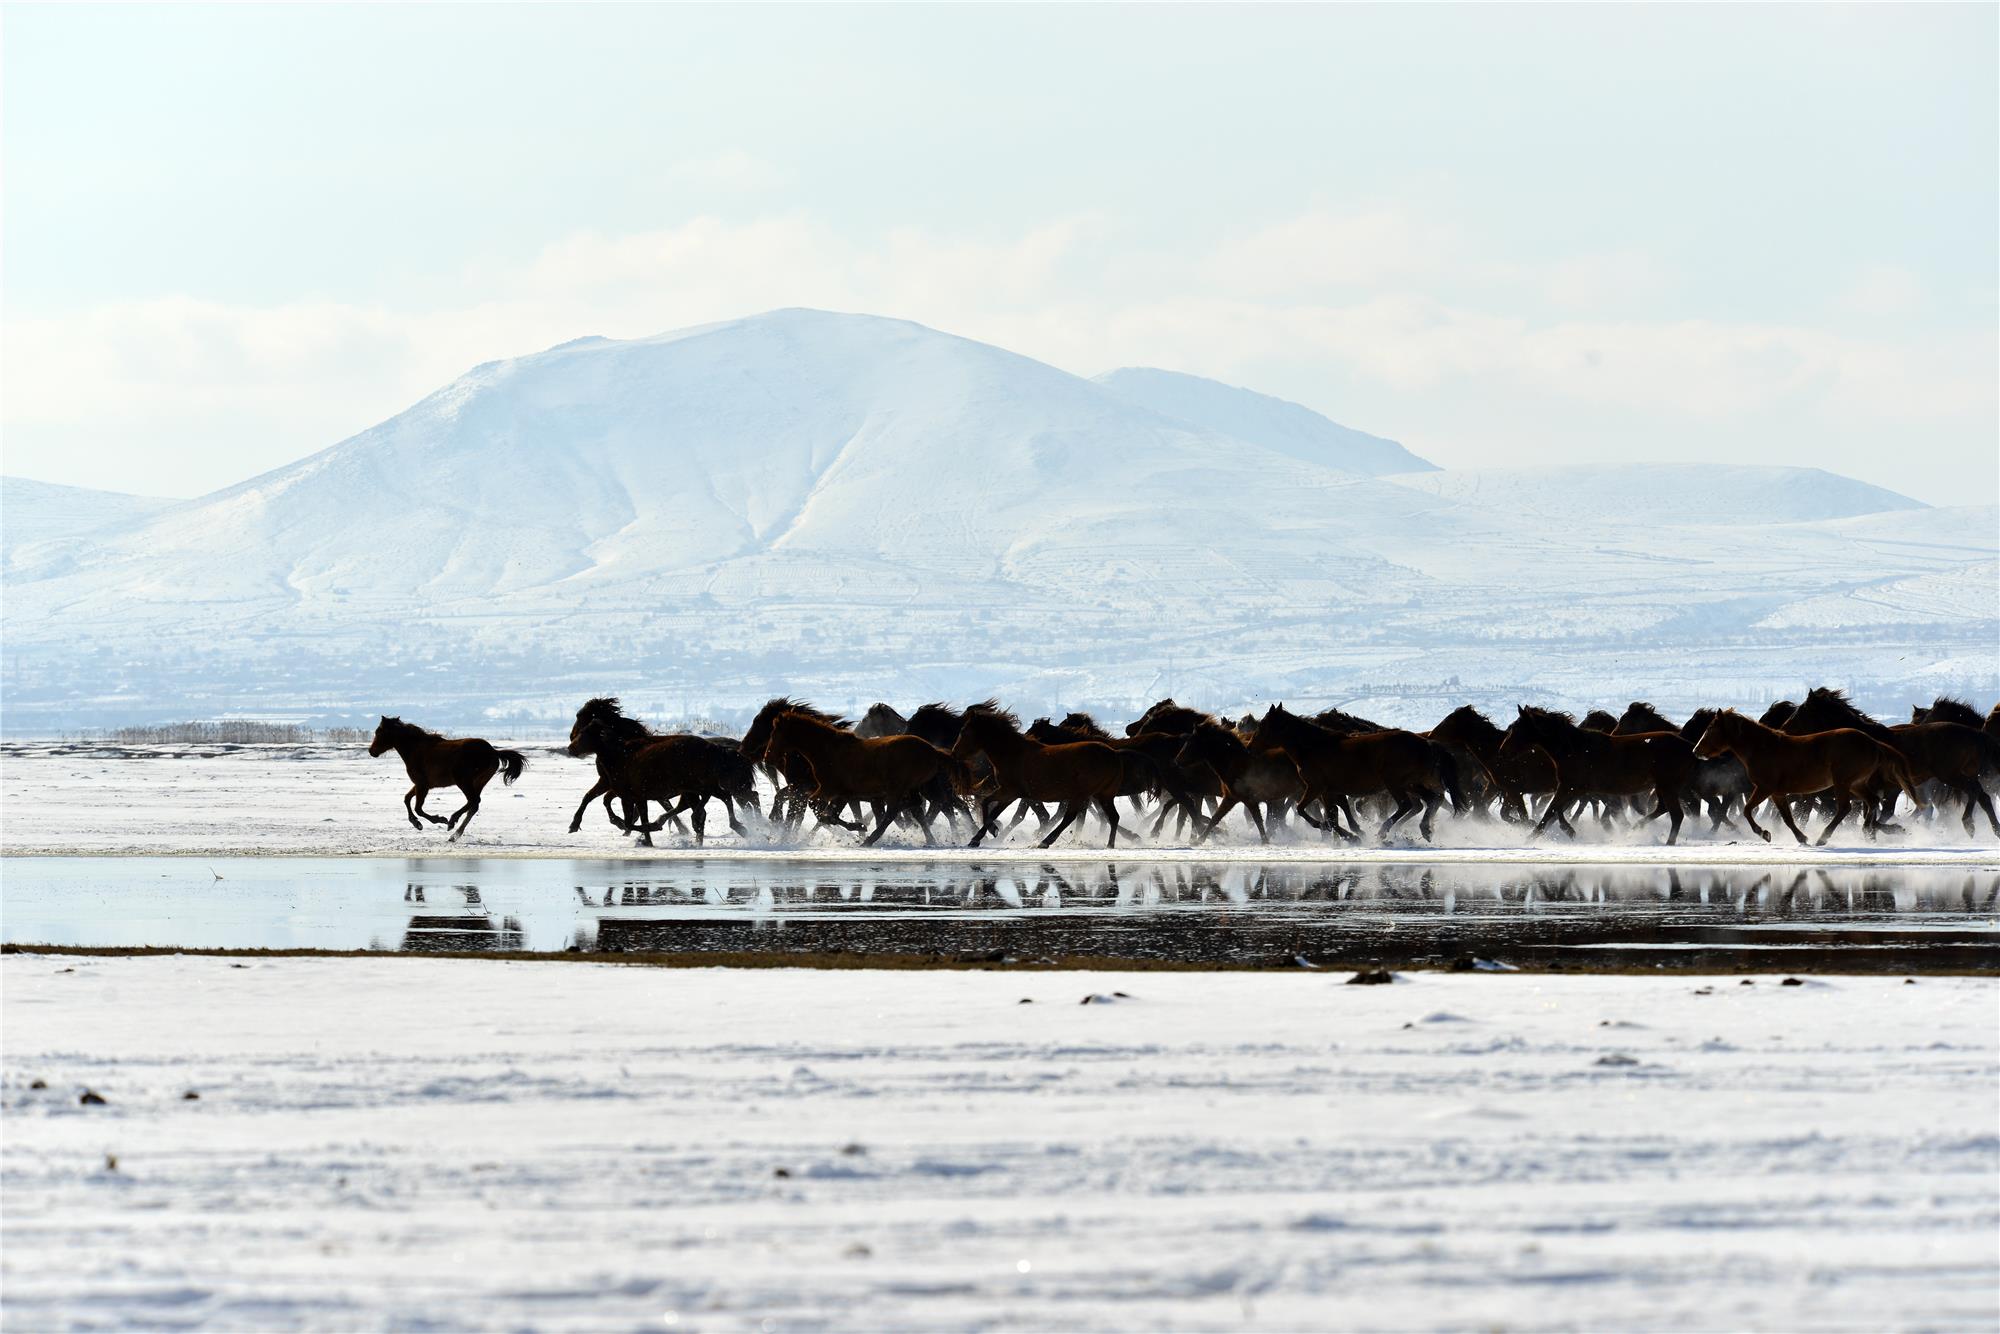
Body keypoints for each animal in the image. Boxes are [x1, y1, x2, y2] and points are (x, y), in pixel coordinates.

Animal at [368, 716, 524, 840]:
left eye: (379, 732)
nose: (371, 751)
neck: (416, 749)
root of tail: (493, 752)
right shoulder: (421, 784)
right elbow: (406, 799)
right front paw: (416, 823)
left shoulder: (422, 785)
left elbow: (418, 808)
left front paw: (436, 820)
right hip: (478, 782)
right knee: (474, 805)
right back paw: (455, 834)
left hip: (464, 781)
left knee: (473, 801)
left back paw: (452, 822)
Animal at [948, 704, 1128, 852]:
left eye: (963, 731)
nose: (954, 753)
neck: (1012, 753)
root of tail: (1113, 754)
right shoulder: (1009, 794)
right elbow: (993, 810)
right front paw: (979, 838)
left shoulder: (1009, 792)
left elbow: (986, 805)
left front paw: (990, 832)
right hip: (1103, 795)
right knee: (1112, 817)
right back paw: (1110, 844)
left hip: (1082, 795)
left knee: (1071, 817)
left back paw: (1045, 841)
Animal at [1696, 708, 1912, 844]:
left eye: (1710, 728)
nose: (1696, 750)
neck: (1763, 748)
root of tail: (1873, 743)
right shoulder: (1777, 793)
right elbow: (1787, 818)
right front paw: (1801, 838)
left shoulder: (1765, 788)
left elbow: (1748, 810)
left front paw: (1764, 833)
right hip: (1856, 784)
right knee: (1872, 801)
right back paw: (1870, 832)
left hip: (1843, 782)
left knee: (1846, 808)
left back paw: (1824, 838)